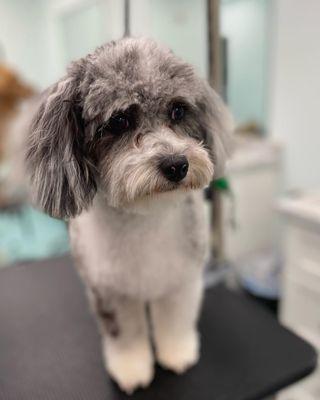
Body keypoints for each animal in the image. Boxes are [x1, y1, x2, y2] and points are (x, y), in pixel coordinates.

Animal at [24, 37, 232, 394]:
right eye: (119, 121)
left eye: (178, 110)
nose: (176, 164)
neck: (145, 217)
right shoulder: (110, 293)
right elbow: (127, 334)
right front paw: (132, 367)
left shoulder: (180, 279)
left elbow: (174, 319)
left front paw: (177, 352)